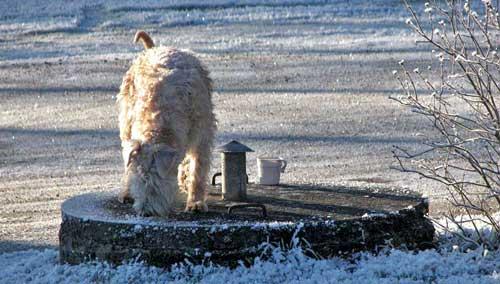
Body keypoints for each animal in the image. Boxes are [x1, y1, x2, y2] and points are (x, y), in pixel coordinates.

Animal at [118, 31, 218, 216]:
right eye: (139, 180)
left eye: (156, 183)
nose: (146, 211)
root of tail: (155, 49)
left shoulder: (202, 136)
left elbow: (198, 170)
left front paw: (196, 202)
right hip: (125, 121)